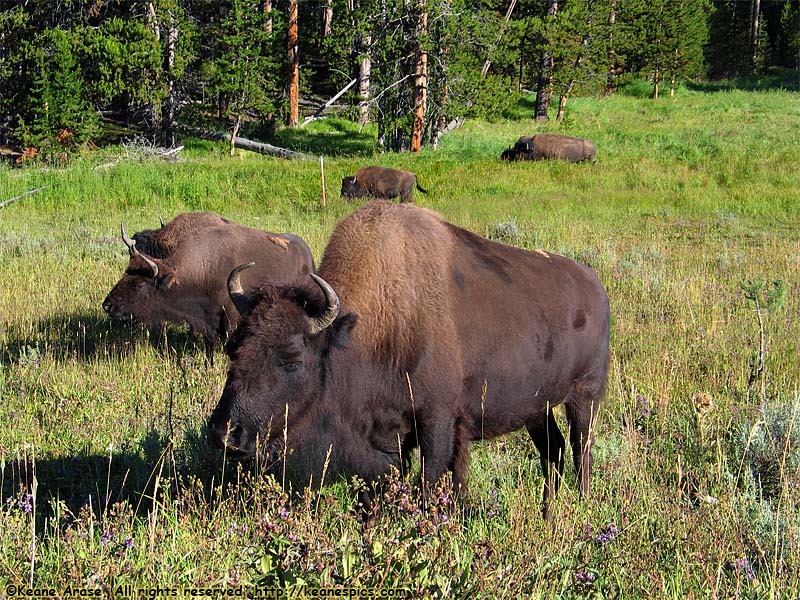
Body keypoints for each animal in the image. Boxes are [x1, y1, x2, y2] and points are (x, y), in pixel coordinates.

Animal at [209, 199, 608, 516]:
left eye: (293, 357)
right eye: (233, 348)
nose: (225, 434)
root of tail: (595, 287)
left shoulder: (437, 421)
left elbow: (431, 482)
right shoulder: (389, 436)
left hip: (584, 396)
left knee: (581, 449)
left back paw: (583, 505)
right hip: (536, 408)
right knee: (552, 449)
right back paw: (548, 511)